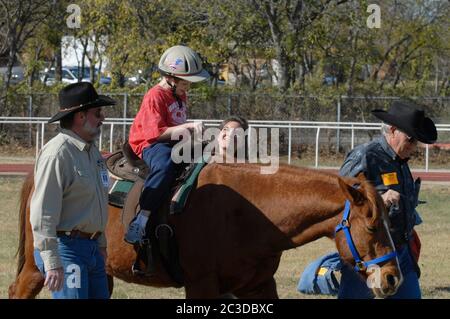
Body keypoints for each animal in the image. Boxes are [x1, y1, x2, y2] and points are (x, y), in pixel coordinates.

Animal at [7, 164, 400, 298]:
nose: (393, 277)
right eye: (372, 225)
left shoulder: (258, 286)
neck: (251, 212)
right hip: (40, 266)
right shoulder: (201, 285)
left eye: (390, 221)